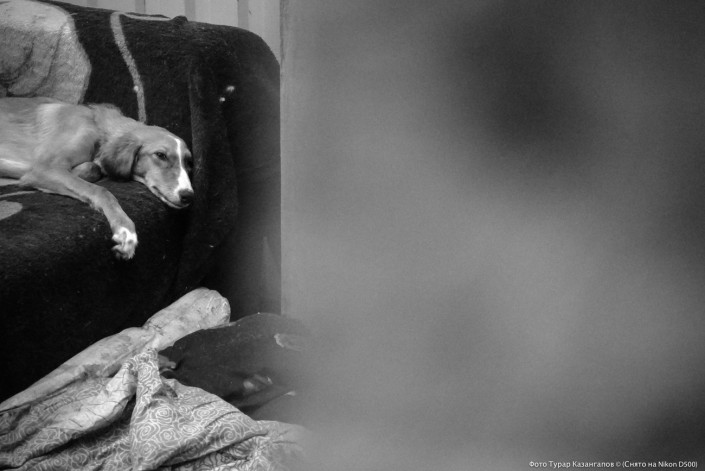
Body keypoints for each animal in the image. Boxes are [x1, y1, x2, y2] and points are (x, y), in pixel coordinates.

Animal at [0, 96, 194, 259]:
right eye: (160, 155)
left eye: (188, 162)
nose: (188, 196)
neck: (98, 127)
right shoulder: (45, 168)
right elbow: (101, 190)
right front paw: (125, 229)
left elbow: (93, 169)